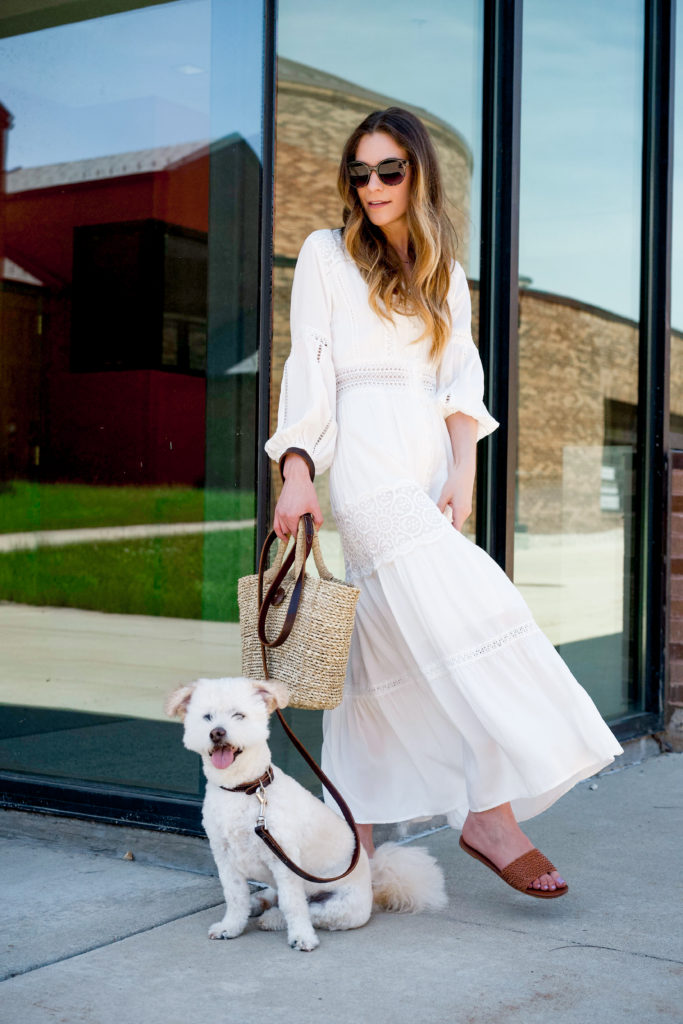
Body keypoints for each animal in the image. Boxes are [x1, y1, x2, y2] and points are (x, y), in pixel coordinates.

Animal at [165, 671, 448, 950]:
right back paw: (258, 903)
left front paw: (302, 937)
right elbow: (235, 897)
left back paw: (273, 918)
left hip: (339, 907)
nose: (217, 733)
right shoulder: (225, 858)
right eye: (207, 717)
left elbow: (293, 905)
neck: (243, 790)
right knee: (273, 896)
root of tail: (372, 885)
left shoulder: (285, 860)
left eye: (239, 715)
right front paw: (231, 927)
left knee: (305, 909)